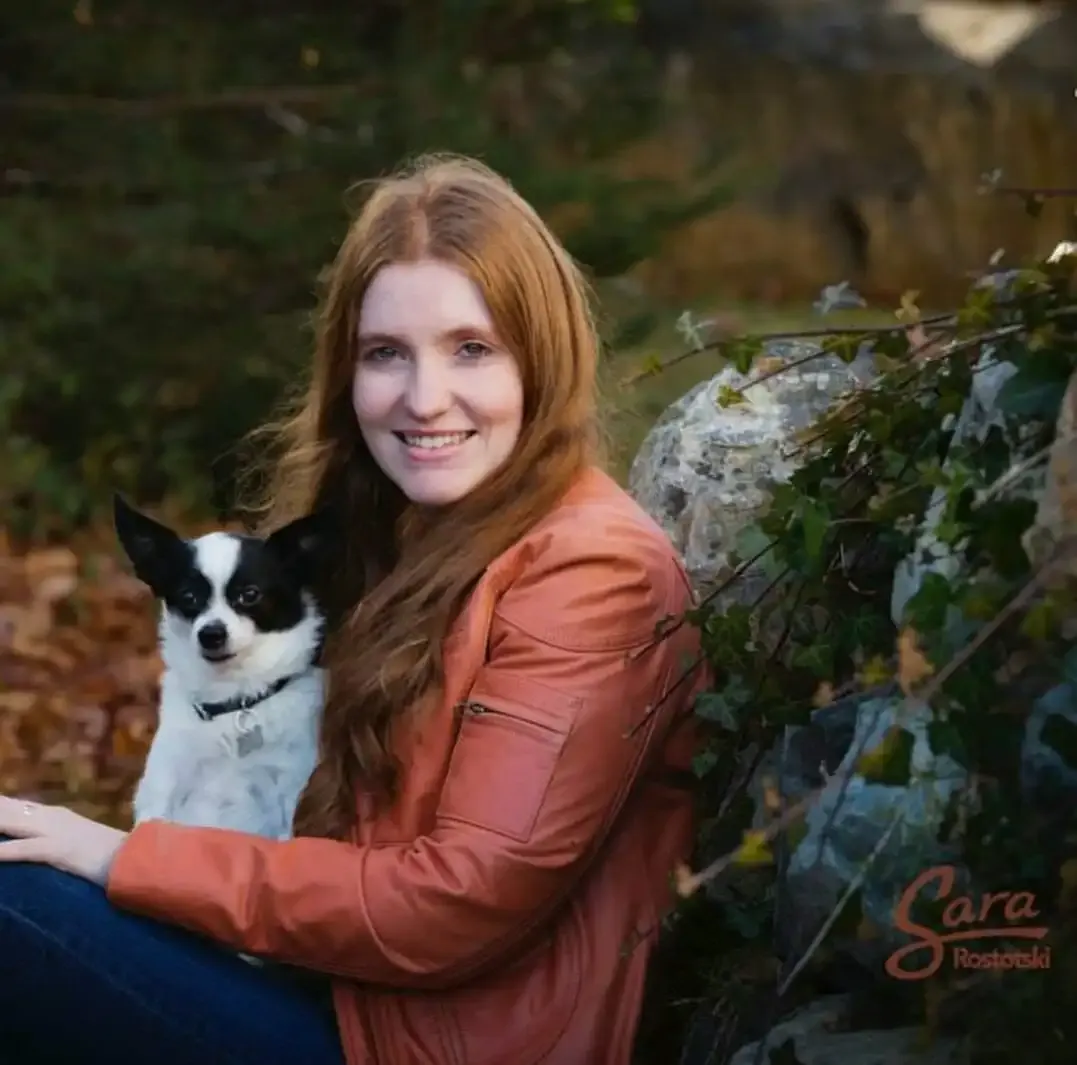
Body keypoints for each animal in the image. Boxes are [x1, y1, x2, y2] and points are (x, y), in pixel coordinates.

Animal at [112, 497, 327, 839]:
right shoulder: (163, 791)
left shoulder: (286, 795)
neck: (235, 698)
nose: (211, 634)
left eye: (250, 594)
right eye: (188, 597)